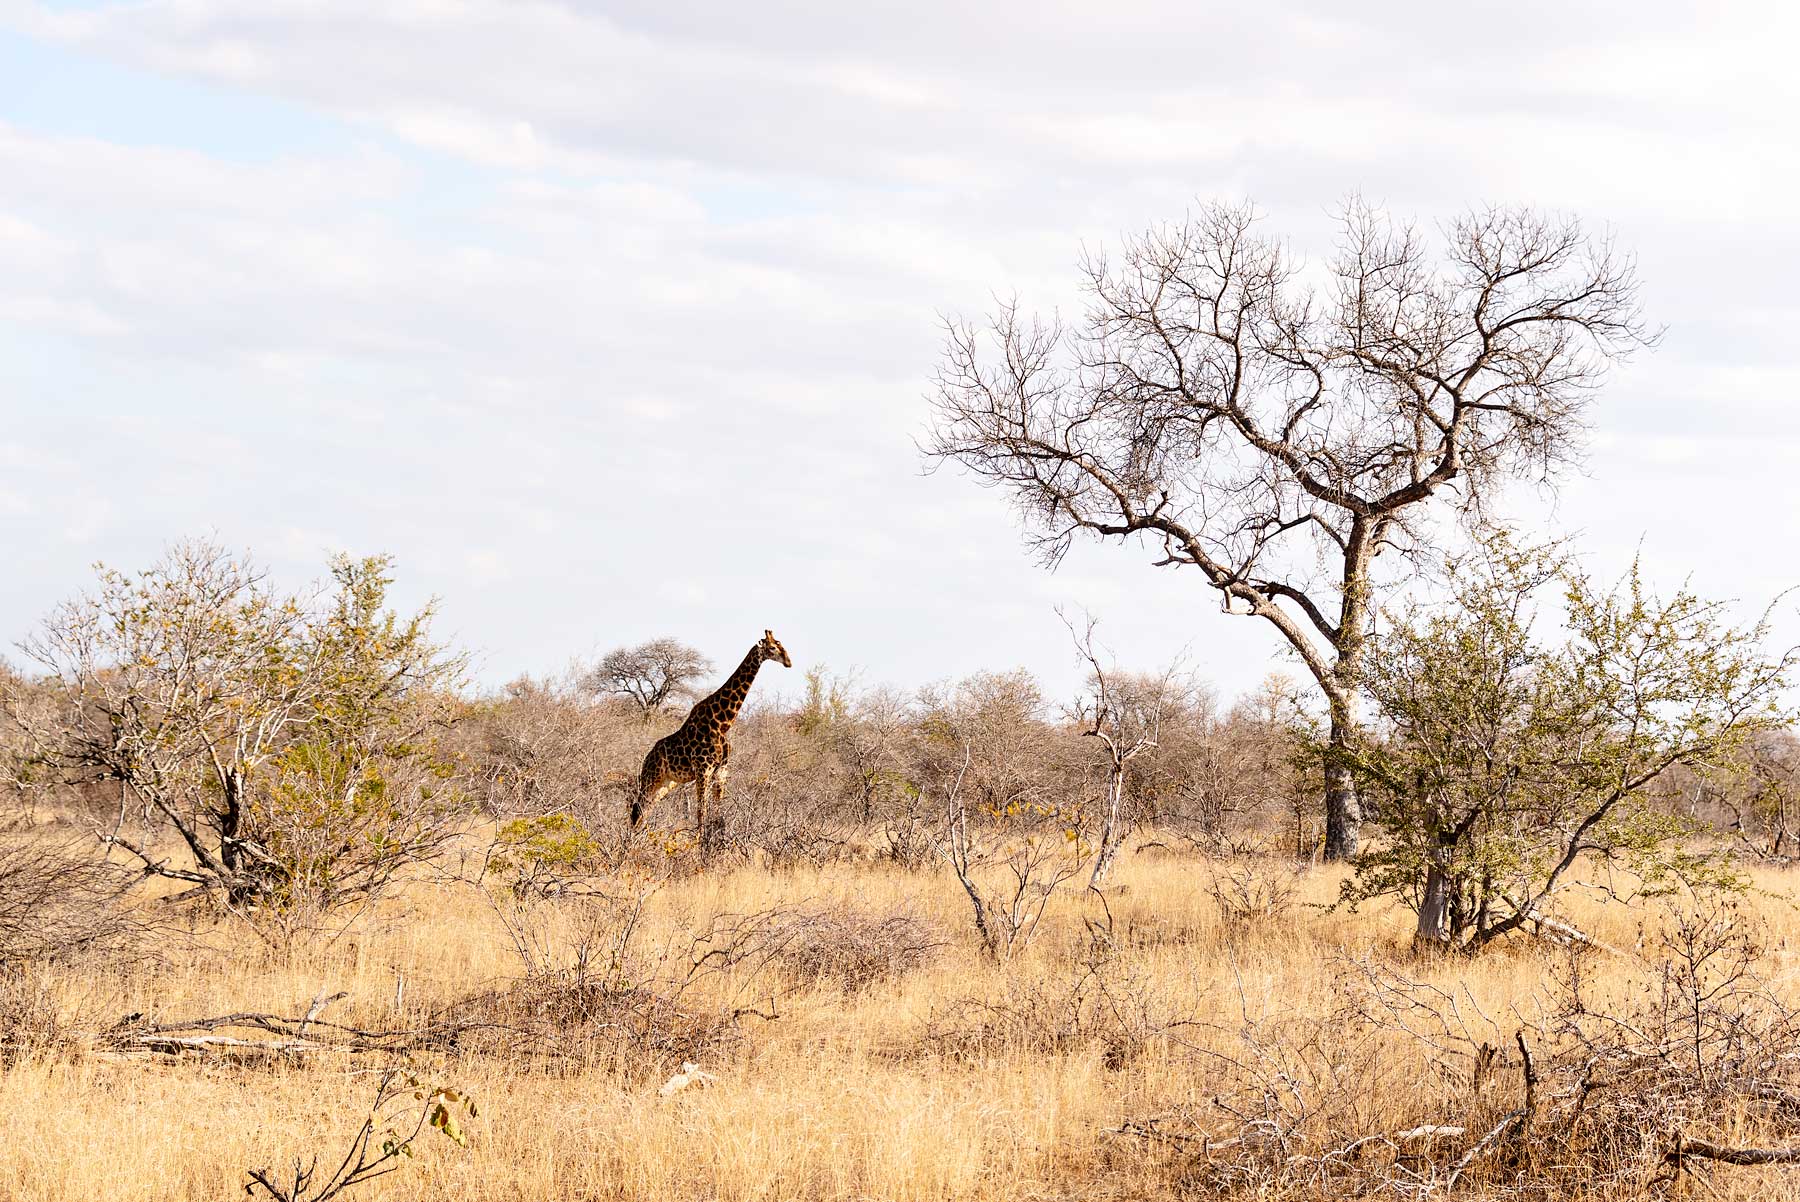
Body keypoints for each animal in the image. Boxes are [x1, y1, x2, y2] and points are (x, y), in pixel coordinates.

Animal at [629, 630, 792, 842]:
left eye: (782, 645)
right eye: (772, 647)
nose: (789, 662)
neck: (722, 723)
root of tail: (647, 758)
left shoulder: (721, 771)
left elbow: (718, 813)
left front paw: (716, 842)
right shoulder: (703, 770)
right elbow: (701, 811)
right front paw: (699, 842)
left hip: (667, 783)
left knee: (645, 809)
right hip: (652, 777)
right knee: (638, 808)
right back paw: (630, 841)